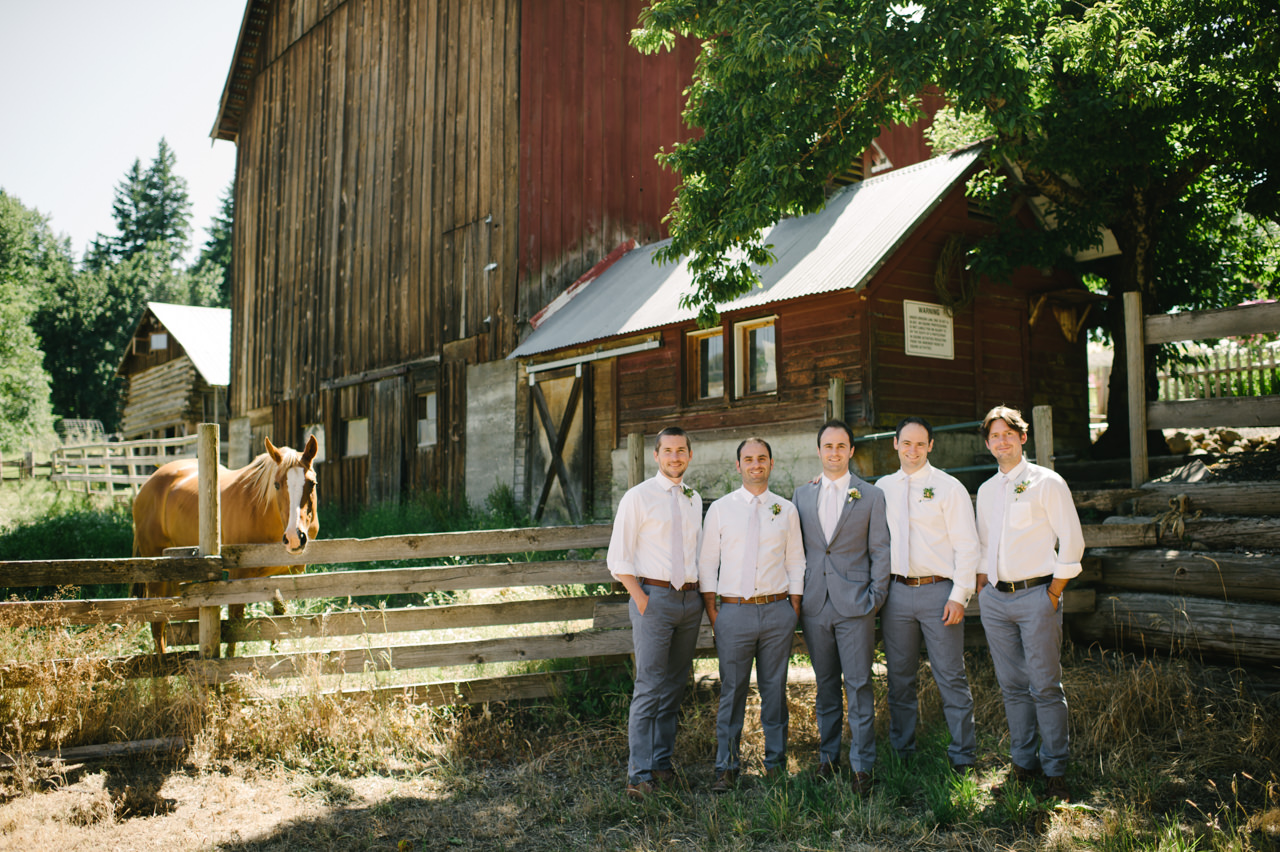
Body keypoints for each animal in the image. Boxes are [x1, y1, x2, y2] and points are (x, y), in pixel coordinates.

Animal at [131, 434, 320, 652]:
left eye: (312, 483)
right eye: (277, 484)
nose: (294, 537)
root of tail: (148, 484)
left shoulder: (290, 574)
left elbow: (279, 625)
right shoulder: (239, 578)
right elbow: (235, 628)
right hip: (156, 575)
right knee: (157, 623)